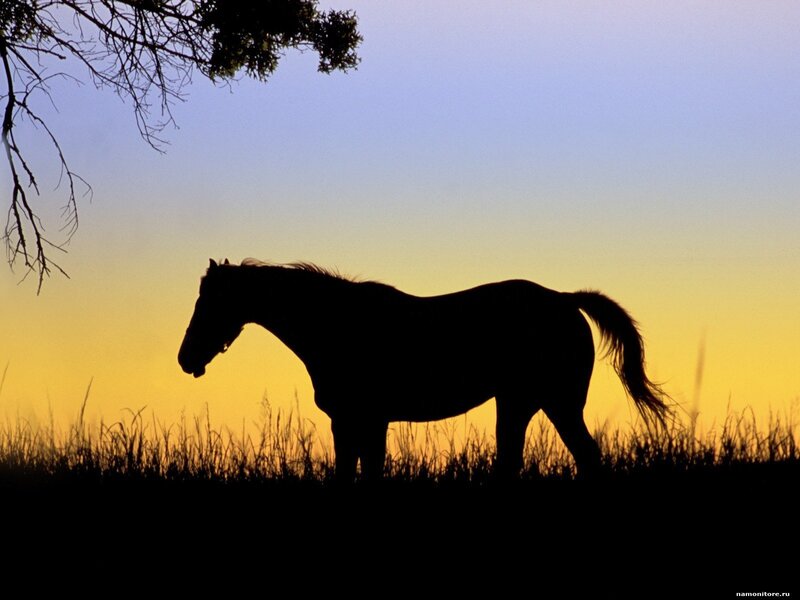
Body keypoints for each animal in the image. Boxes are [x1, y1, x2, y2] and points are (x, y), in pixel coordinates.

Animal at [178, 259, 669, 481]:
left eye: (210, 303)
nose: (186, 359)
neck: (339, 323)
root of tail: (567, 301)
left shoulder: (363, 419)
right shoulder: (355, 423)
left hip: (553, 404)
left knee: (582, 456)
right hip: (523, 405)